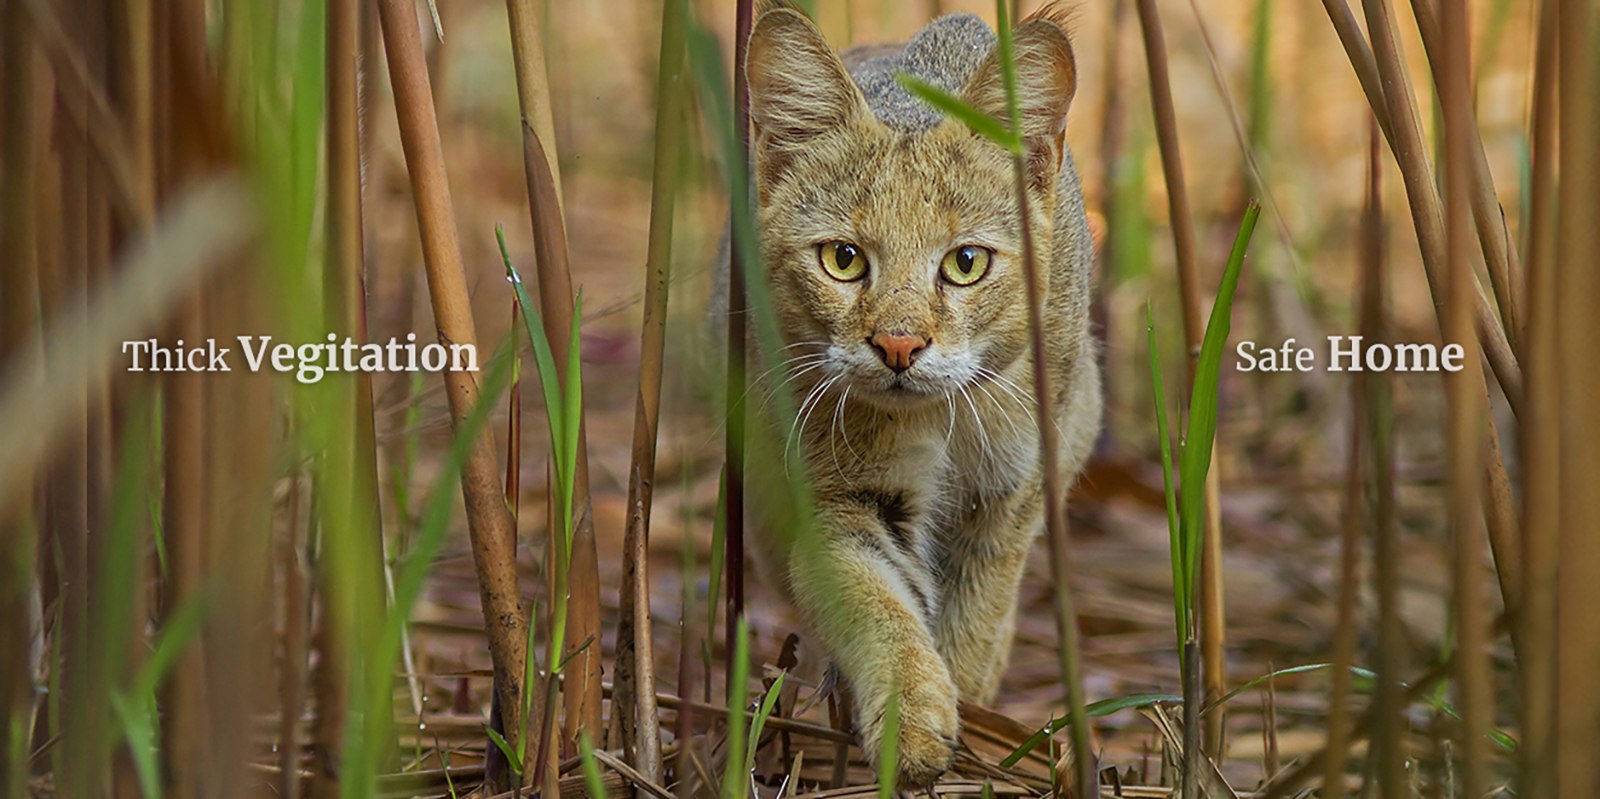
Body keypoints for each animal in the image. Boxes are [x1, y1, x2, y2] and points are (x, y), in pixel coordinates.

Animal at [739, 1, 1100, 787]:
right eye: (843, 259)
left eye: (965, 263)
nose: (899, 346)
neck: (940, 419)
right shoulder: (836, 493)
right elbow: (875, 603)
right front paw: (911, 724)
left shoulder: (1011, 489)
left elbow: (975, 620)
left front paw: (973, 736)